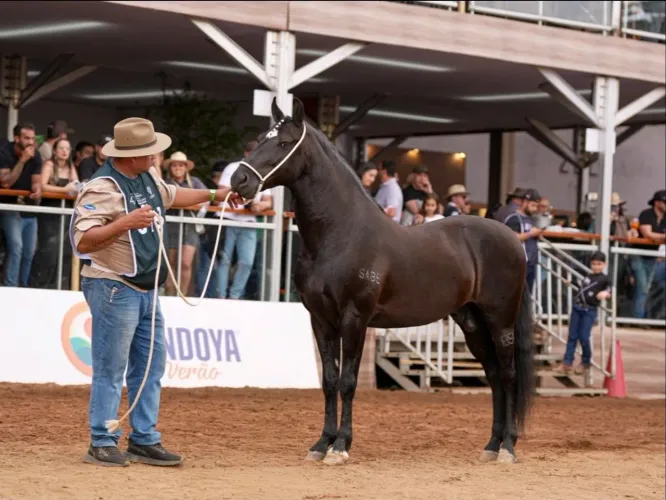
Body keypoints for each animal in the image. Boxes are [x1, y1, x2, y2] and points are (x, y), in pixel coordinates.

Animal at [230, 98, 534, 466]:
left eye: (284, 143)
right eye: (262, 138)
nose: (239, 179)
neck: (340, 233)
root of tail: (512, 239)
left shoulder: (355, 318)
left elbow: (348, 381)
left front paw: (340, 446)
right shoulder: (320, 319)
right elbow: (329, 381)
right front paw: (321, 444)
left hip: (500, 320)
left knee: (508, 374)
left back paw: (508, 448)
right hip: (471, 321)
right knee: (492, 375)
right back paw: (491, 445)